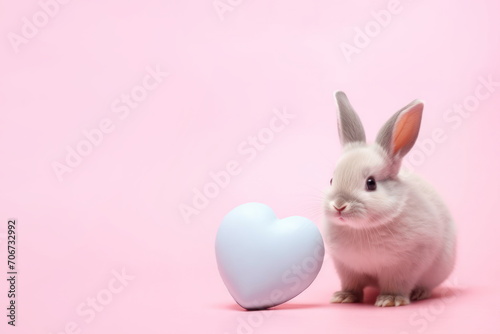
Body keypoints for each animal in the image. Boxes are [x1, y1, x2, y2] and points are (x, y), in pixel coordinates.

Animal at [324, 90, 458, 306]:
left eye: (371, 183)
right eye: (331, 180)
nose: (339, 205)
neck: (361, 229)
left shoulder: (404, 265)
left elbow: (397, 284)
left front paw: (390, 300)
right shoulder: (347, 268)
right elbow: (351, 284)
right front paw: (343, 297)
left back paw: (420, 293)